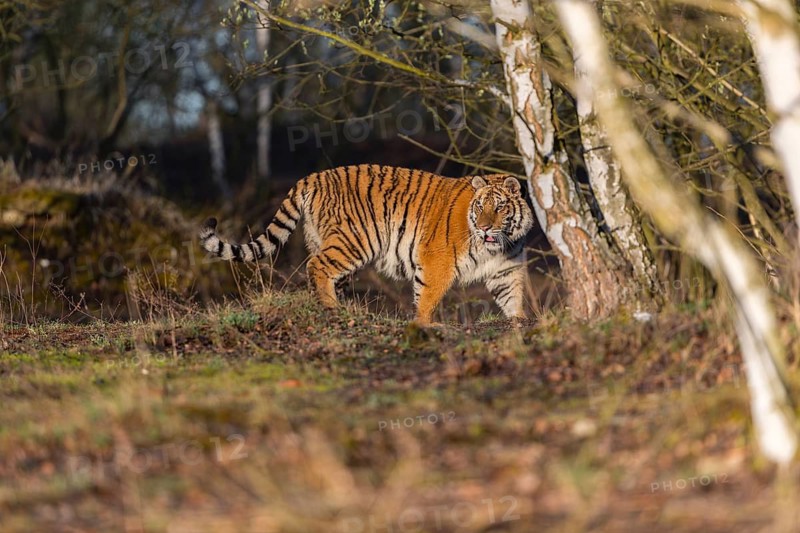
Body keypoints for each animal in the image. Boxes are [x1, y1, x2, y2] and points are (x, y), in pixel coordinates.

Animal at [199, 164, 534, 325]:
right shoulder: (436, 261)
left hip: (327, 240)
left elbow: (512, 298)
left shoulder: (506, 270)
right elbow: (427, 297)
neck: (497, 244)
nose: (484, 226)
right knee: (316, 266)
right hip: (356, 241)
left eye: (499, 207)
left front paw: (519, 320)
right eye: (480, 207)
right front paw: (425, 324)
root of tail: (312, 176)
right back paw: (333, 308)